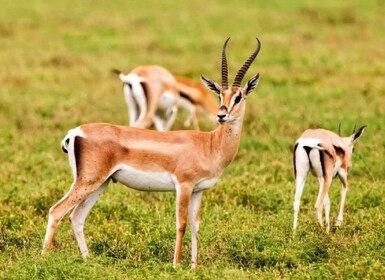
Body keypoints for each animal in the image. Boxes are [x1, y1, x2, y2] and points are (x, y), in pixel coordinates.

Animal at [42, 37, 260, 266]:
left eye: (238, 96)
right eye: (220, 95)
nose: (221, 115)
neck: (209, 144)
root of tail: (75, 132)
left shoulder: (198, 190)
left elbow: (196, 225)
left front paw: (194, 266)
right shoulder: (183, 186)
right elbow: (181, 223)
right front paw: (176, 265)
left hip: (101, 183)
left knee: (76, 217)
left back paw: (88, 259)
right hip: (88, 181)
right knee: (56, 210)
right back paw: (44, 257)